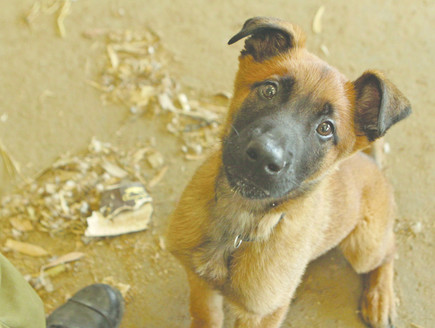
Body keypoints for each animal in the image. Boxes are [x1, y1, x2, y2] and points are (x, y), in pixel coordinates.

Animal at [167, 16, 412, 326]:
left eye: (325, 128)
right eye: (269, 90)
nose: (264, 156)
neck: (239, 223)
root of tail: (371, 163)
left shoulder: (262, 314)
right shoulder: (199, 284)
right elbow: (204, 316)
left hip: (363, 247)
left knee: (388, 249)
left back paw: (380, 298)